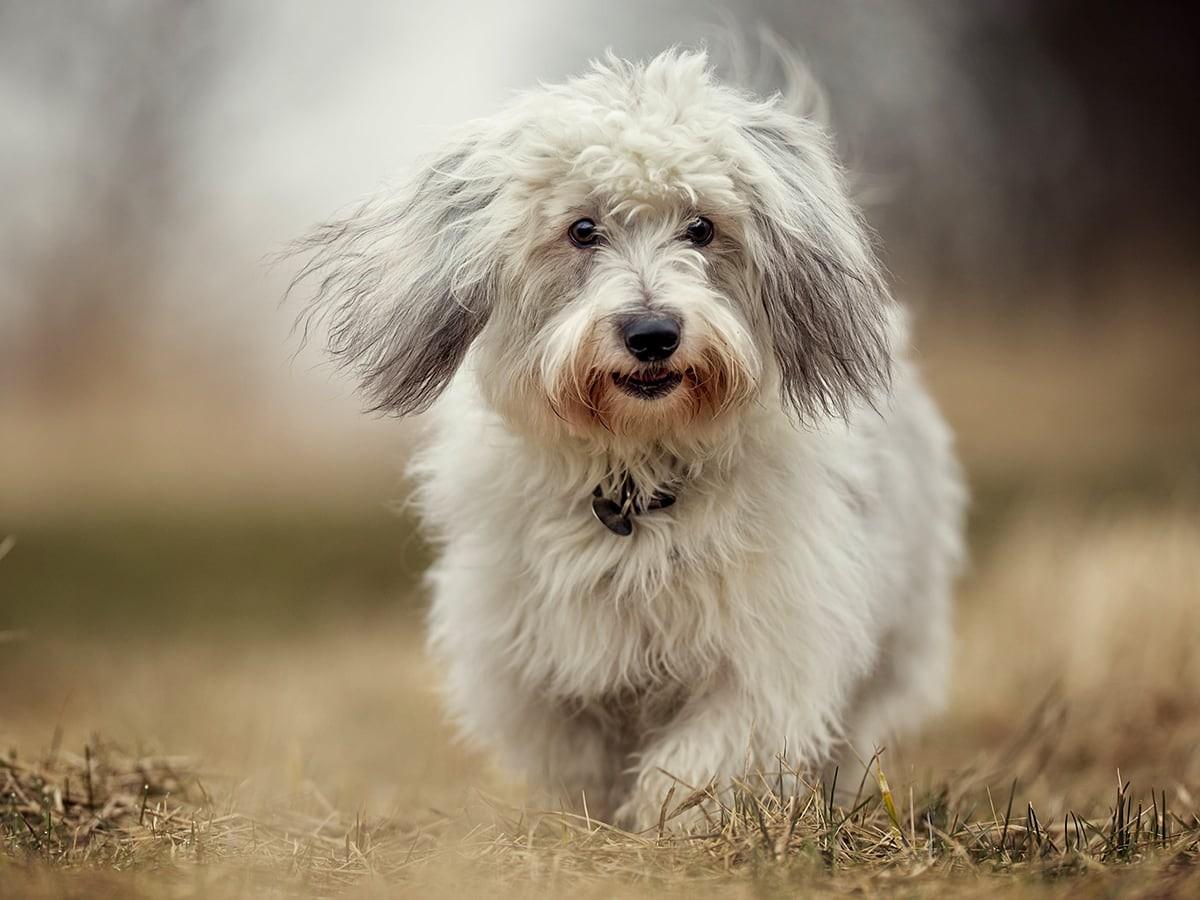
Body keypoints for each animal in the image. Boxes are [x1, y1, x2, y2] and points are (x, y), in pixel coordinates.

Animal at [297, 45, 964, 830]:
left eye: (702, 228)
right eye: (583, 230)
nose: (652, 333)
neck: (634, 485)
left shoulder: (770, 644)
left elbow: (707, 753)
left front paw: (670, 820)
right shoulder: (533, 661)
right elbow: (578, 751)